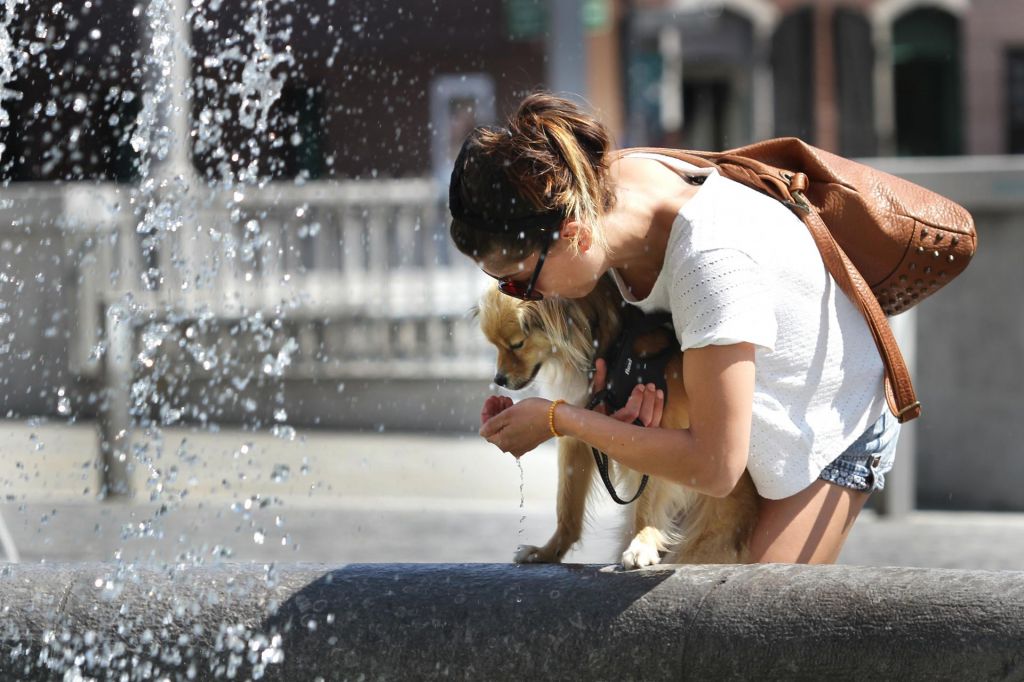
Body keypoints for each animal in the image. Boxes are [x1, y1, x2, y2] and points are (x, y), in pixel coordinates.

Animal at [475, 274, 757, 565]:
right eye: (494, 346)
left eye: (517, 345)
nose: (499, 379)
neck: (613, 347)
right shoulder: (577, 434)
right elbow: (567, 506)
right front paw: (547, 552)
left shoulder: (657, 431)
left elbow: (645, 505)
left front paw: (642, 544)